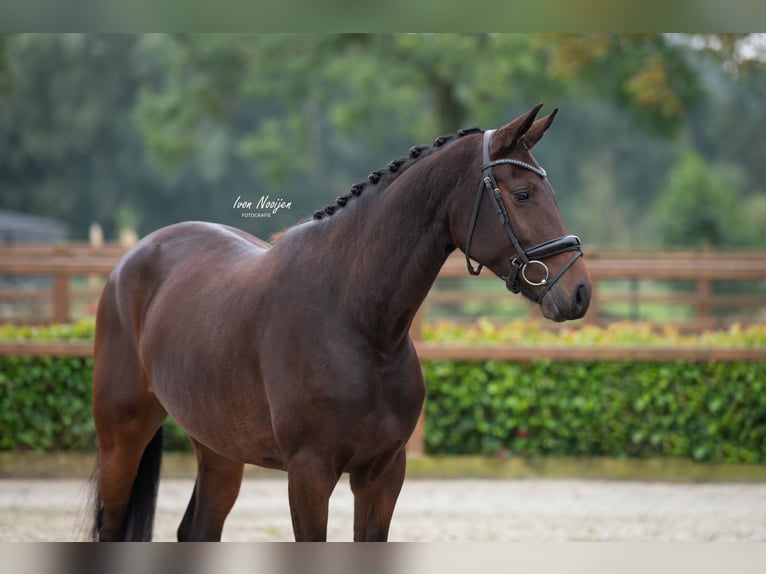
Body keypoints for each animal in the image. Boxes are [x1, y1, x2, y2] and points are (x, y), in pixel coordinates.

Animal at [91, 104, 592, 544]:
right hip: (120, 440)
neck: (357, 325)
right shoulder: (309, 474)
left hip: (217, 448)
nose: (579, 292)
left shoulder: (383, 473)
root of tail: (132, 259)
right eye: (523, 194)